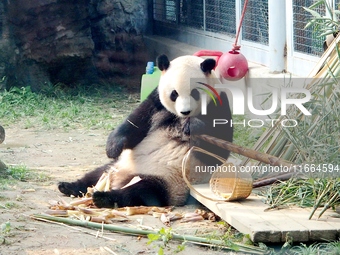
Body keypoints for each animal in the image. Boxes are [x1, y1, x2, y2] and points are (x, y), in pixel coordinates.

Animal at [59, 54, 234, 208]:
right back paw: (68, 186)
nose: (185, 112)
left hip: (169, 182)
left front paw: (193, 126)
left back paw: (104, 197)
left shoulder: (219, 105)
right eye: (174, 94)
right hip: (117, 164)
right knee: (95, 174)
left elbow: (214, 150)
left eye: (195, 93)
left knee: (140, 192)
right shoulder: (156, 102)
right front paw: (113, 147)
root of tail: (122, 178)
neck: (179, 117)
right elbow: (135, 123)